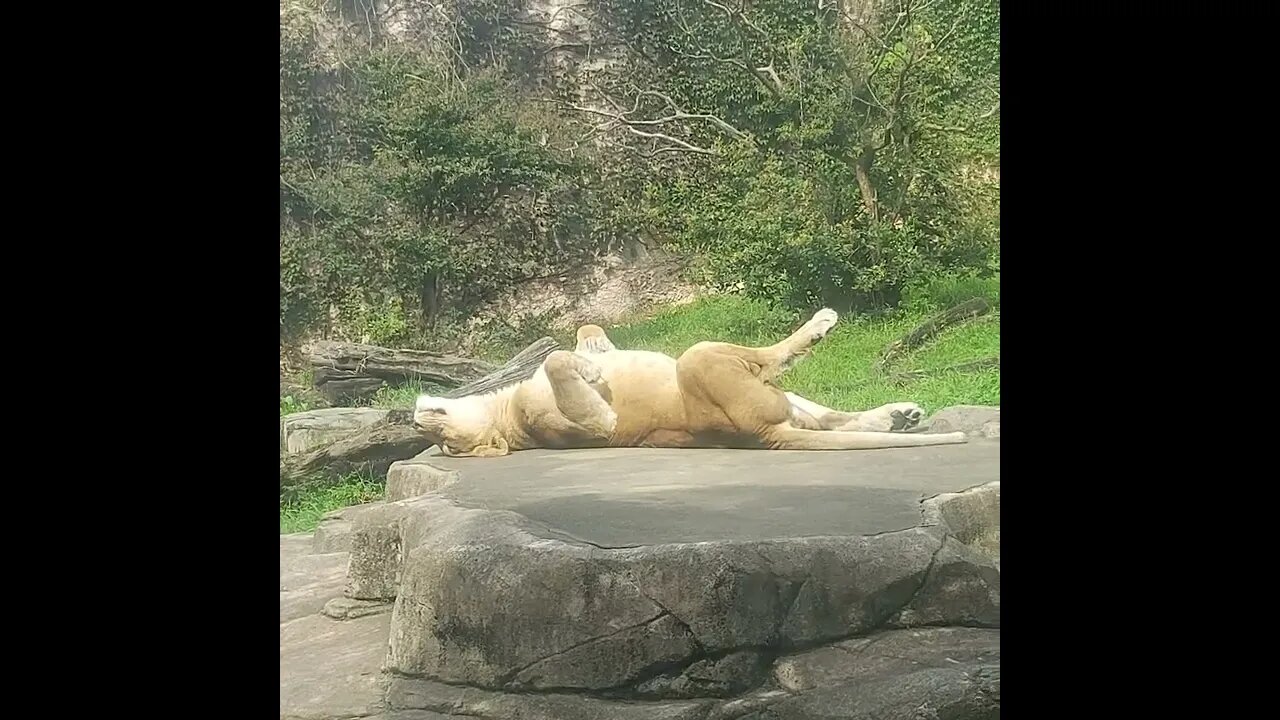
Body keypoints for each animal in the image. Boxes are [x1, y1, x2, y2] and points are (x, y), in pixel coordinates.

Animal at [414, 307, 962, 453]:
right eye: (449, 447)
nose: (419, 420)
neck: (504, 411)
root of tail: (764, 435)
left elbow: (581, 333)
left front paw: (595, 351)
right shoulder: (575, 428)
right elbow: (563, 372)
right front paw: (592, 375)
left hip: (787, 400)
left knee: (835, 420)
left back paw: (901, 415)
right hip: (698, 357)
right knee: (774, 359)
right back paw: (819, 324)